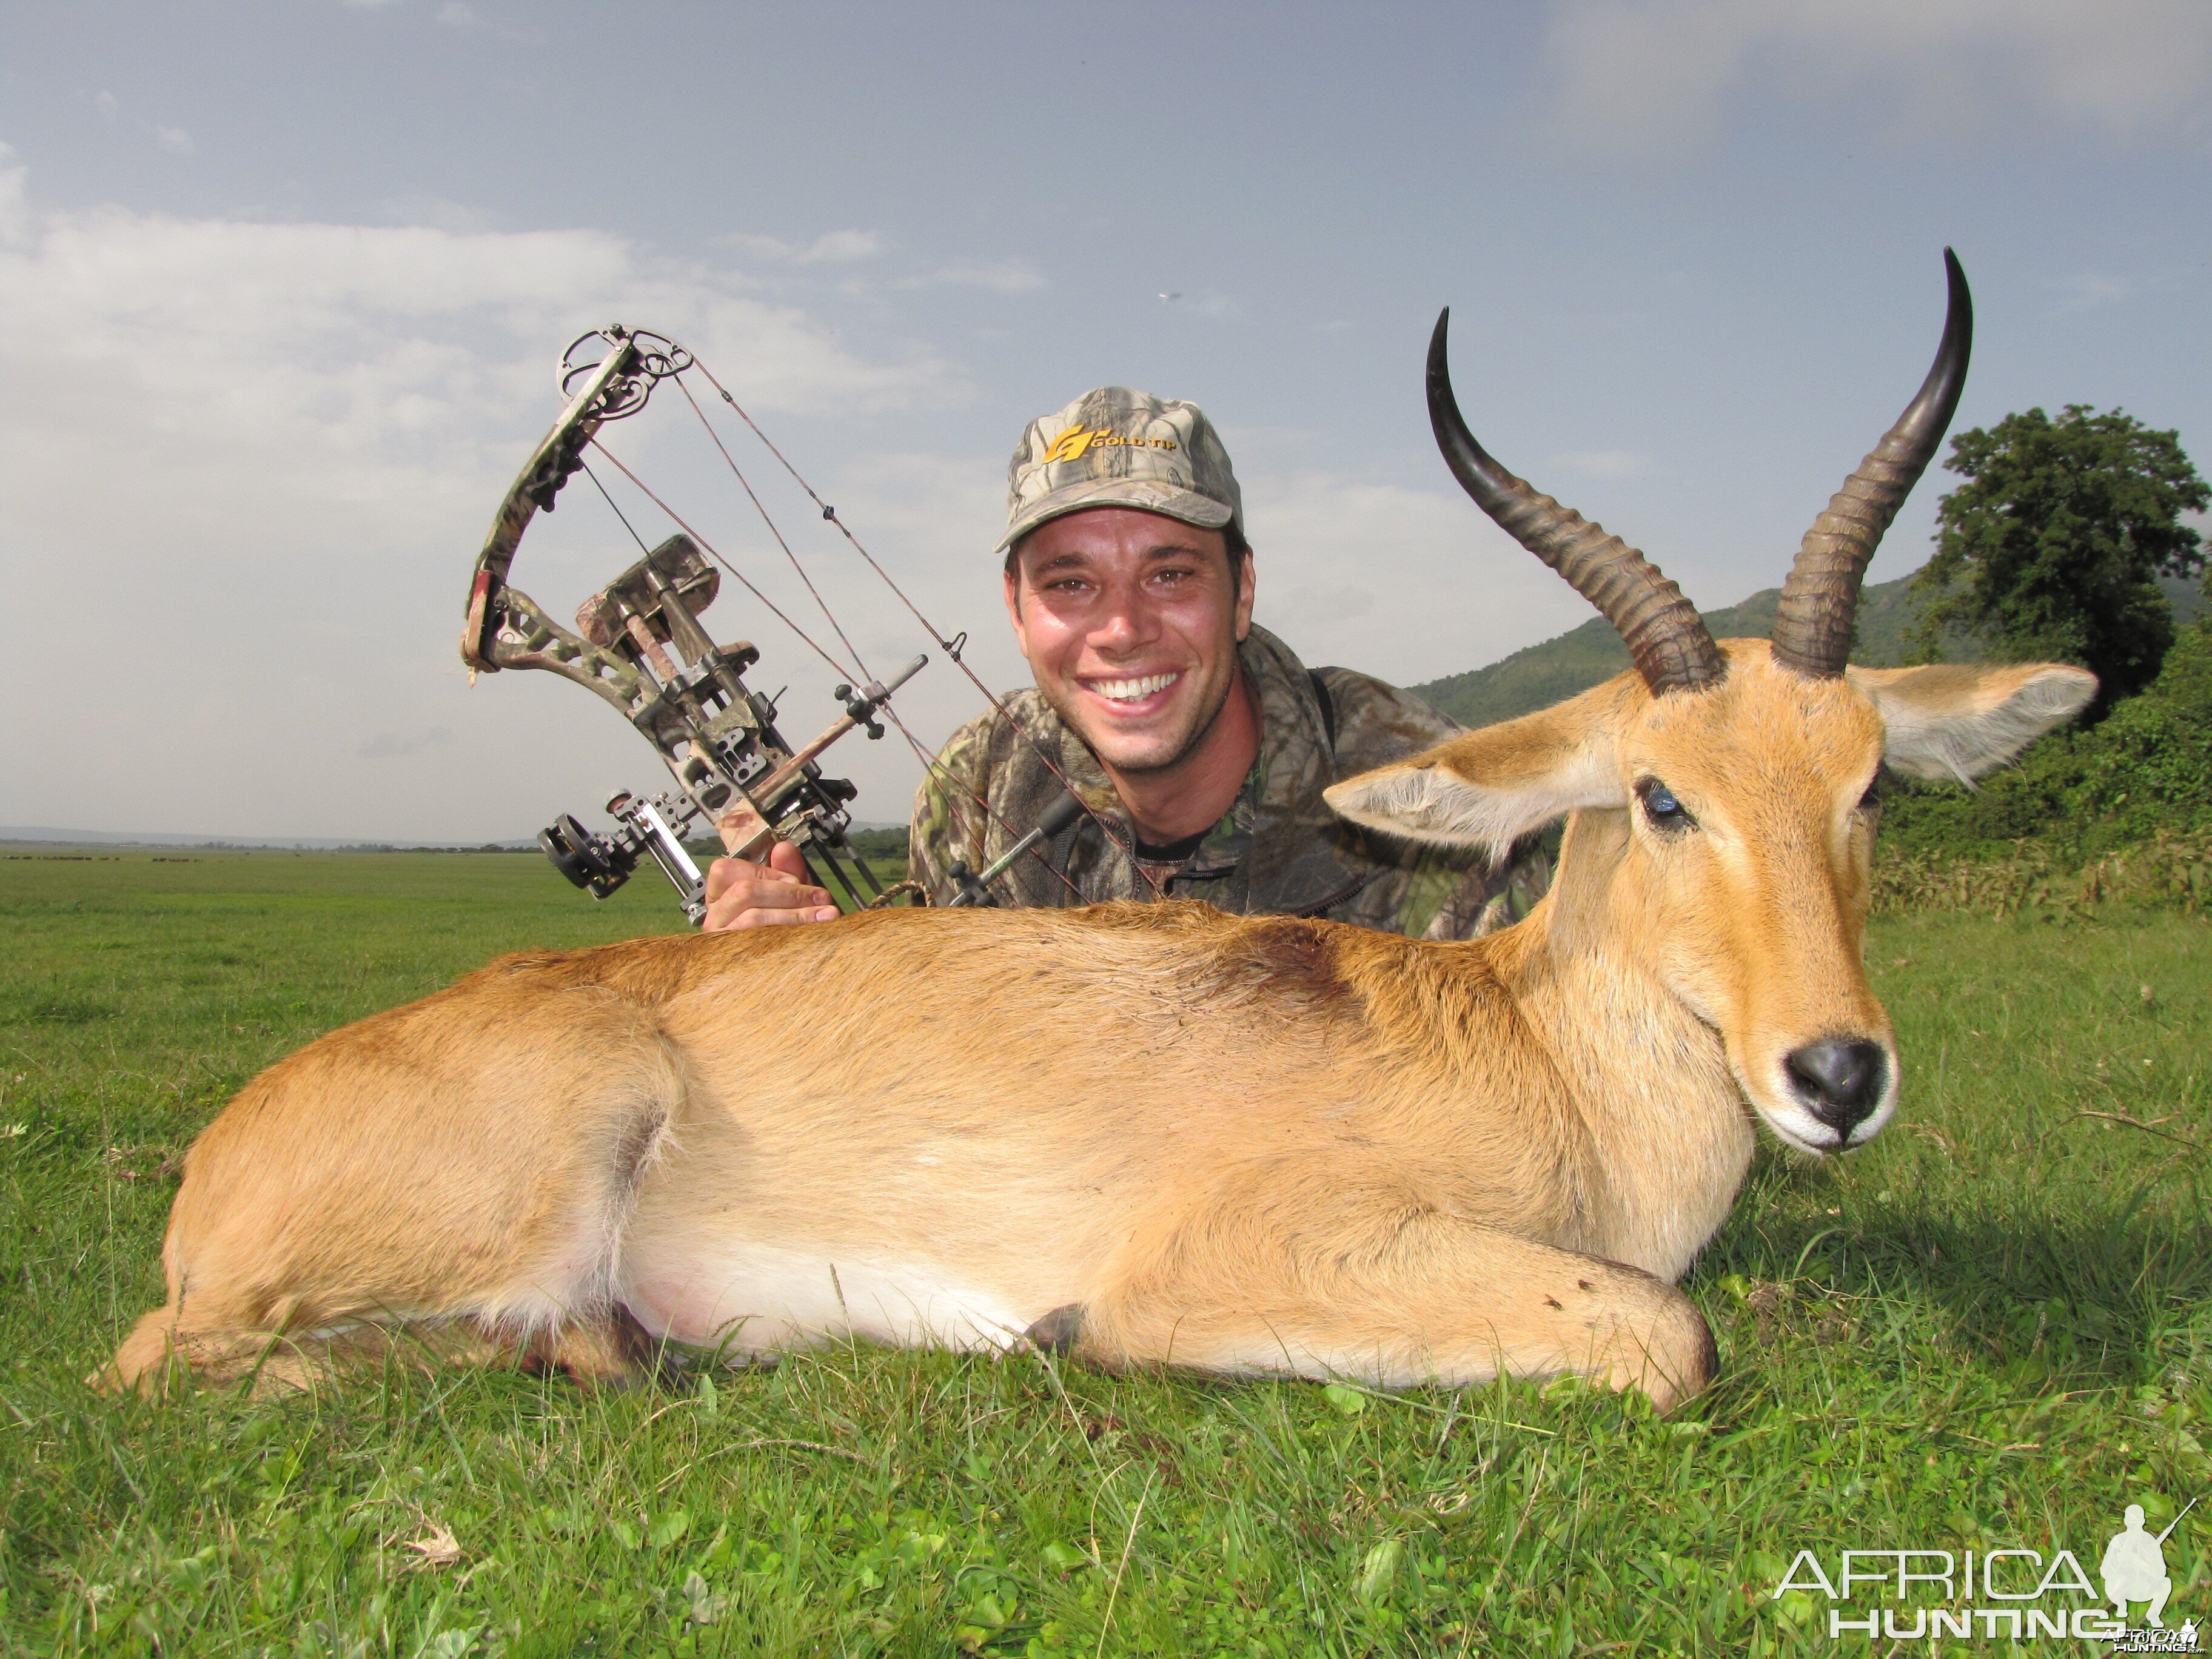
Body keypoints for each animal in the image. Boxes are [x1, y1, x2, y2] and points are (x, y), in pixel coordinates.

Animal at [107, 253, 2088, 1407]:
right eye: (1660, 790)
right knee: (166, 1359)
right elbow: (1676, 1339)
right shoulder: (1243, 1253)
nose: (1837, 1071)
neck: (1529, 1052)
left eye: (1865, 782)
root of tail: (223, 1150)